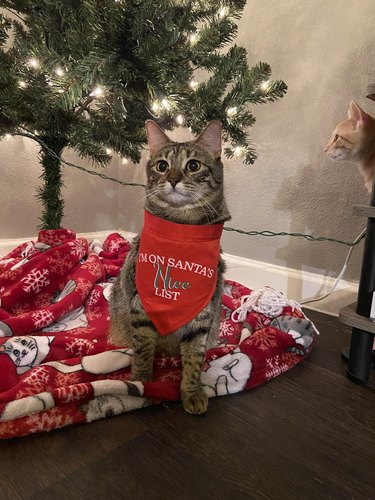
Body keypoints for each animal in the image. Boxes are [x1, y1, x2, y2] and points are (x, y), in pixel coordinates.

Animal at [109, 120, 232, 414]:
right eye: (162, 166)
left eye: (193, 165)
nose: (173, 179)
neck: (181, 228)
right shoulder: (141, 307)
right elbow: (143, 349)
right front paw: (142, 382)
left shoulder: (203, 314)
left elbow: (195, 358)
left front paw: (191, 391)